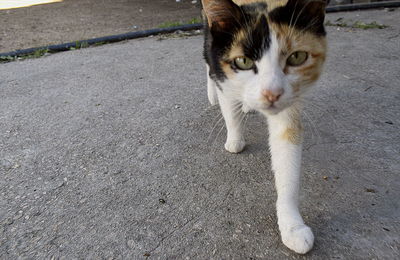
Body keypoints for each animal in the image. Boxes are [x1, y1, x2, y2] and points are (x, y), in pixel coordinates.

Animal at [202, 0, 326, 254]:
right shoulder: (223, 71)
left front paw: (292, 227)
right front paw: (235, 140)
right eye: (243, 61)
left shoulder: (290, 103)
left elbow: (287, 155)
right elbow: (230, 110)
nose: (272, 93)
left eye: (297, 57)